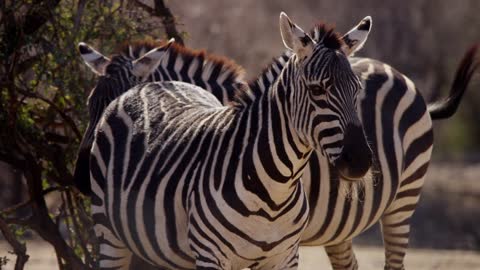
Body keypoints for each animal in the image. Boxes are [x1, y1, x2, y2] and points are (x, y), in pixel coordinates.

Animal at [77, 16, 478, 270]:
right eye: (89, 104)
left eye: (357, 91)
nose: (81, 176)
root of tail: (395, 72)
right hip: (342, 225)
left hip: (404, 200)